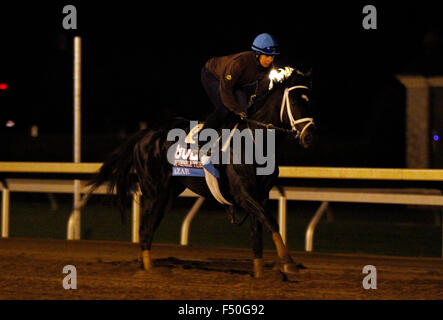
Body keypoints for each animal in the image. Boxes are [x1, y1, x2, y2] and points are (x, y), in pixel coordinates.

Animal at [87, 68, 316, 278]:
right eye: (295, 102)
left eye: (310, 101)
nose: (310, 136)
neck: (253, 141)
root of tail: (145, 134)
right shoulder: (243, 194)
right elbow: (271, 222)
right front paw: (289, 262)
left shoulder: (261, 195)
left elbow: (258, 231)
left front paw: (259, 274)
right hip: (154, 192)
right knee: (144, 229)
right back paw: (150, 271)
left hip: (168, 194)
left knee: (150, 228)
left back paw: (146, 266)